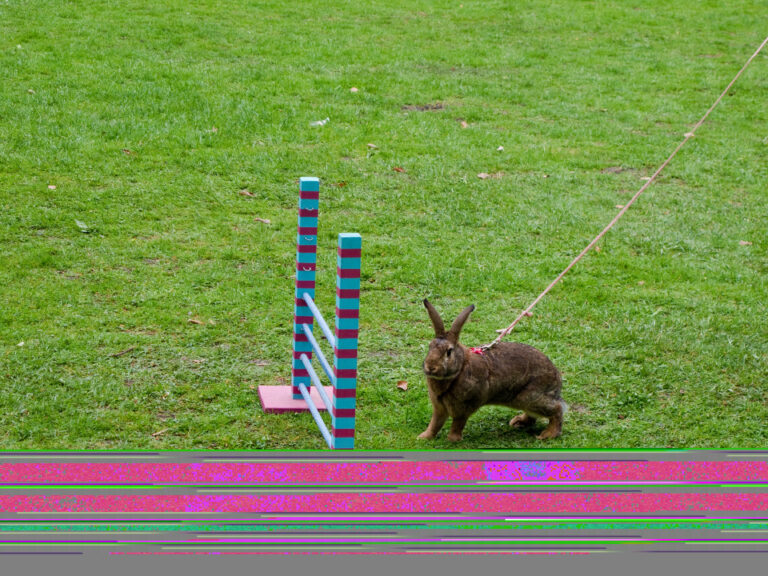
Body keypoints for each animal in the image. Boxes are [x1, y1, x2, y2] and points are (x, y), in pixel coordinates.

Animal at [420, 300, 564, 444]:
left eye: (449, 352)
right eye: (430, 347)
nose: (431, 367)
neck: (459, 369)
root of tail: (557, 379)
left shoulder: (464, 407)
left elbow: (457, 424)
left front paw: (452, 440)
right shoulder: (439, 408)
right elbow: (435, 423)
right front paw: (424, 437)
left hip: (531, 397)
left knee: (558, 409)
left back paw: (548, 434)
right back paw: (518, 422)